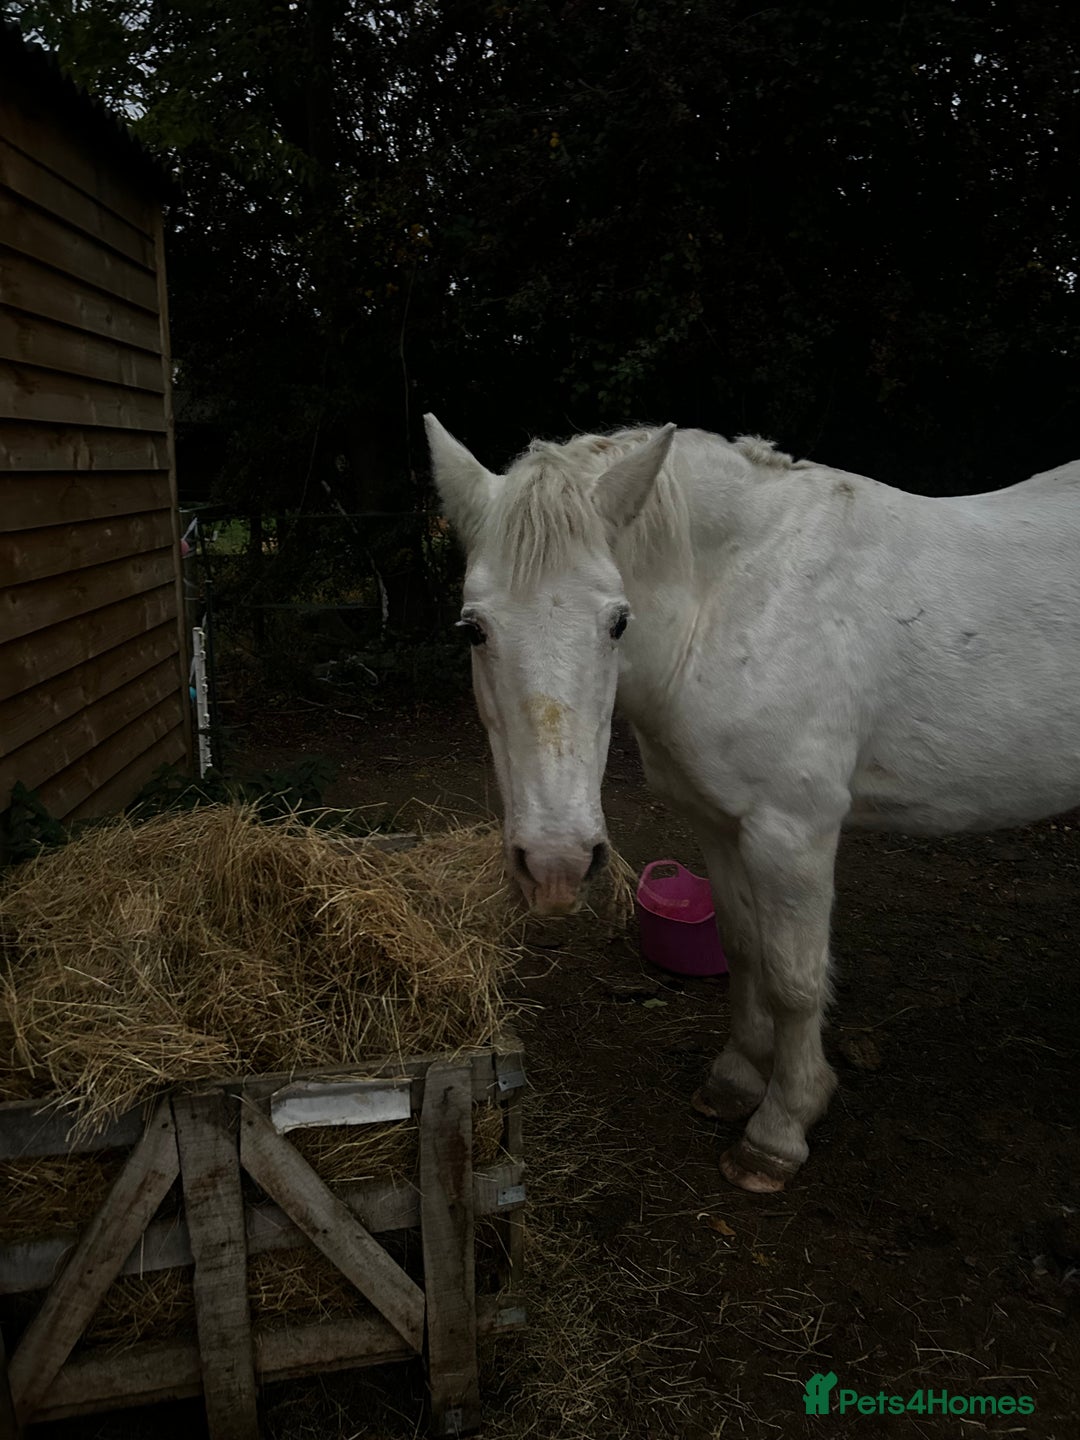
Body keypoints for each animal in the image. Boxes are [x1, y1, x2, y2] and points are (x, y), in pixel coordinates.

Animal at [425, 414, 1080, 1192]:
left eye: (617, 622)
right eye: (472, 628)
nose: (557, 865)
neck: (740, 601)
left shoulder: (792, 833)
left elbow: (796, 979)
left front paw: (781, 1128)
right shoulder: (717, 824)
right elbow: (742, 948)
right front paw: (737, 1079)